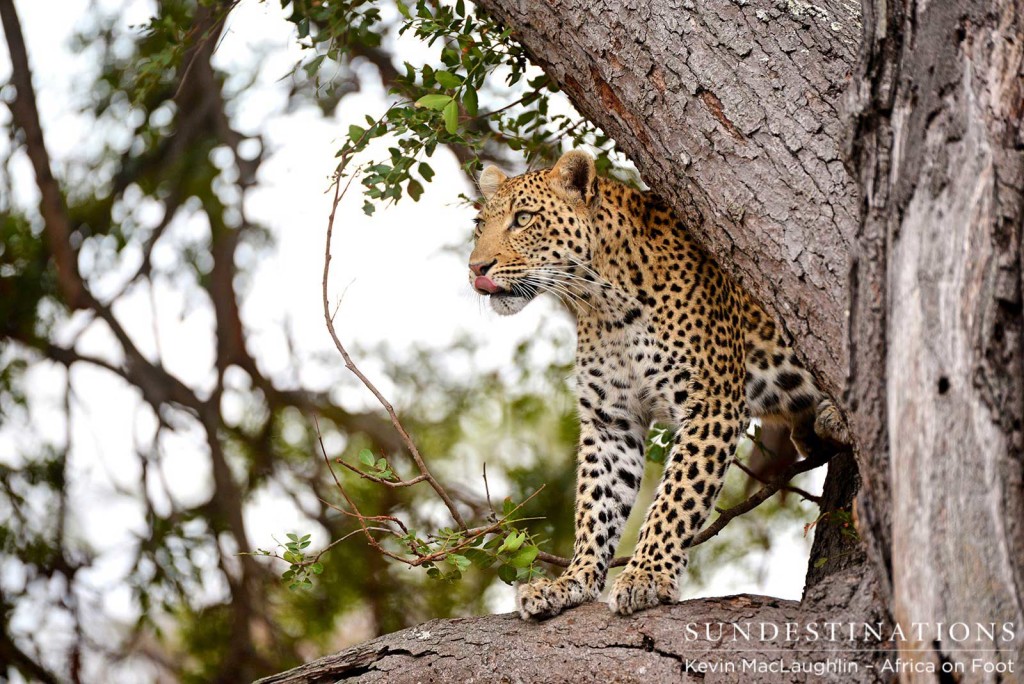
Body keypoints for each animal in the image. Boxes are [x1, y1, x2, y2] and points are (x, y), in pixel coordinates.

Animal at [468, 149, 851, 618]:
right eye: (479, 224)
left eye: (523, 218)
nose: (475, 268)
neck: (603, 301)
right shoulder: (611, 421)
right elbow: (596, 505)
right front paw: (572, 581)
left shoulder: (712, 403)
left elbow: (677, 495)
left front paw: (646, 575)